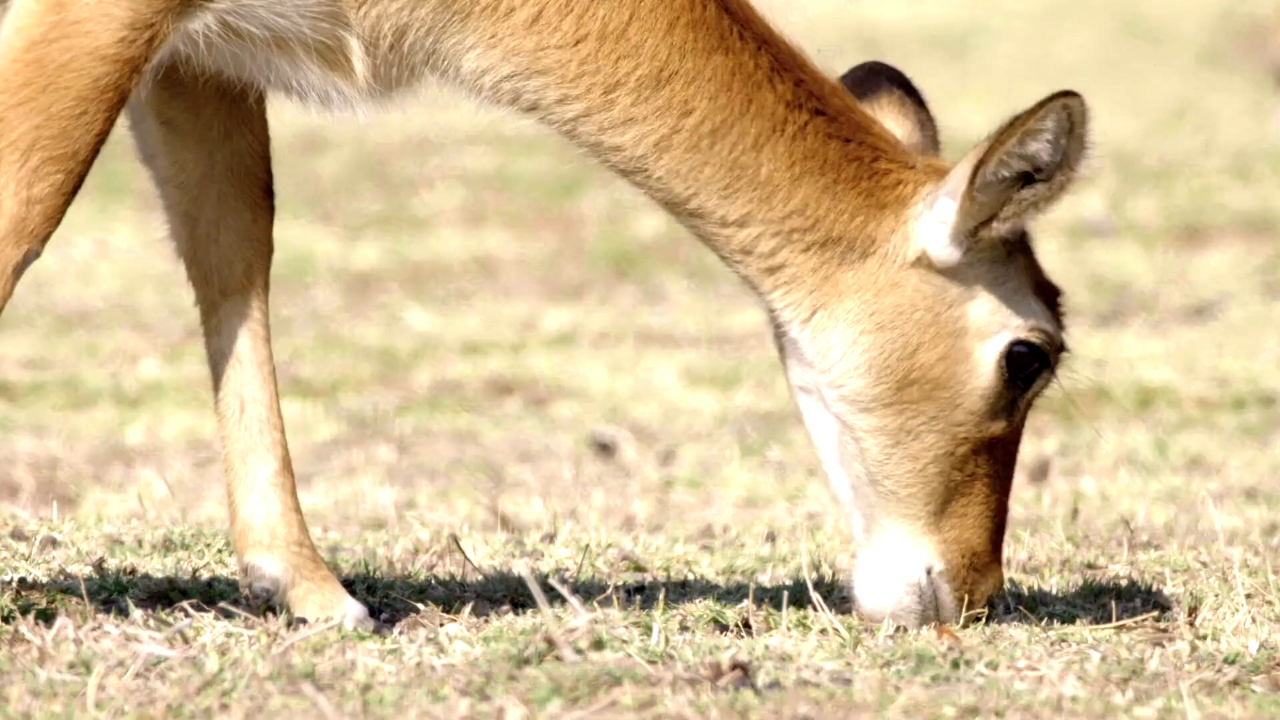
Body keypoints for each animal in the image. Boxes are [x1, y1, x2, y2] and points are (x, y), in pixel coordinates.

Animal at [0, 1, 1085, 627]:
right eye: (1028, 354)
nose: (969, 593)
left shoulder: (196, 60)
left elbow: (235, 253)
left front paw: (306, 586)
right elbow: (23, 218)